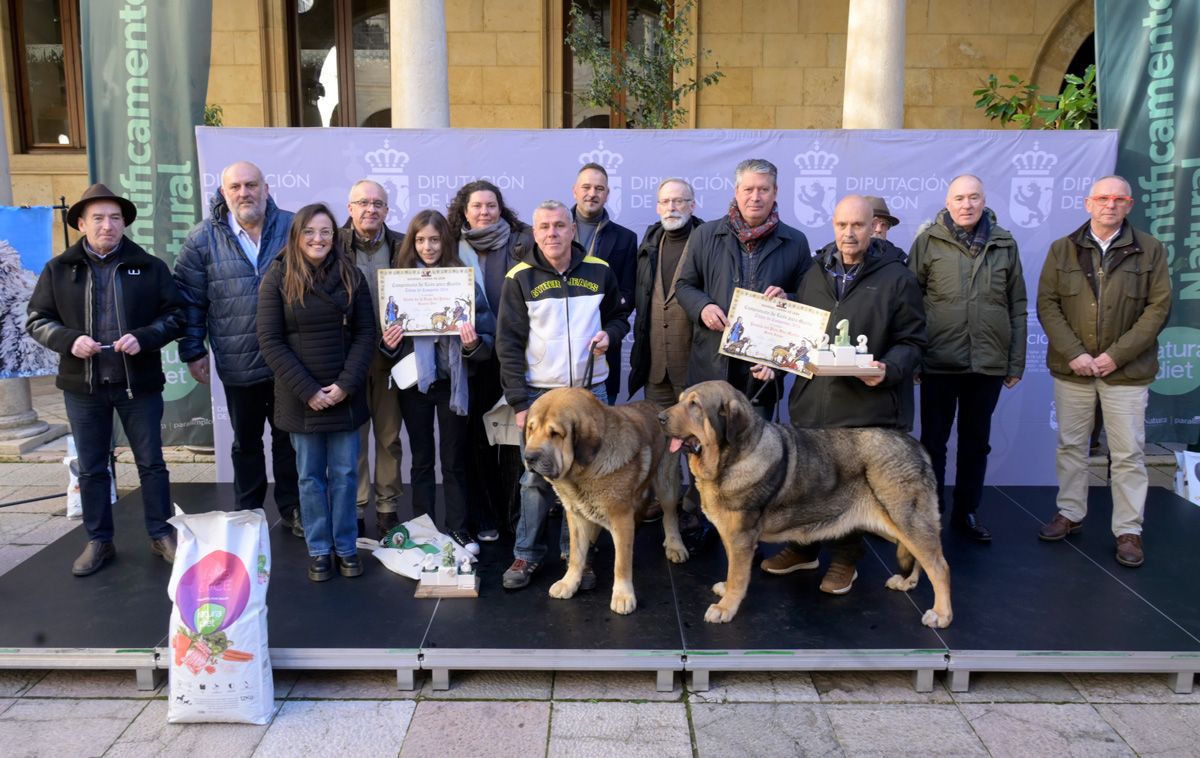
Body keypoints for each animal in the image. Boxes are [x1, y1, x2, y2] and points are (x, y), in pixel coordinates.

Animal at [523, 388, 686, 614]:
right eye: (531, 429)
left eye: (555, 434)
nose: (528, 457)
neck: (584, 471)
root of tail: (660, 409)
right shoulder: (576, 515)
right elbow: (576, 554)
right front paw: (569, 582)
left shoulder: (621, 518)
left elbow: (622, 563)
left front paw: (623, 596)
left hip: (666, 484)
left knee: (670, 517)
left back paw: (675, 546)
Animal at [662, 379, 950, 628]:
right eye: (681, 400)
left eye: (694, 405)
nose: (660, 418)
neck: (732, 458)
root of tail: (916, 446)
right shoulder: (729, 534)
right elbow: (733, 568)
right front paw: (725, 592)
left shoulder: (741, 537)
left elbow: (738, 575)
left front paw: (725, 607)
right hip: (894, 524)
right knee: (919, 558)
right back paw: (907, 583)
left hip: (906, 520)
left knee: (939, 565)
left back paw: (941, 614)